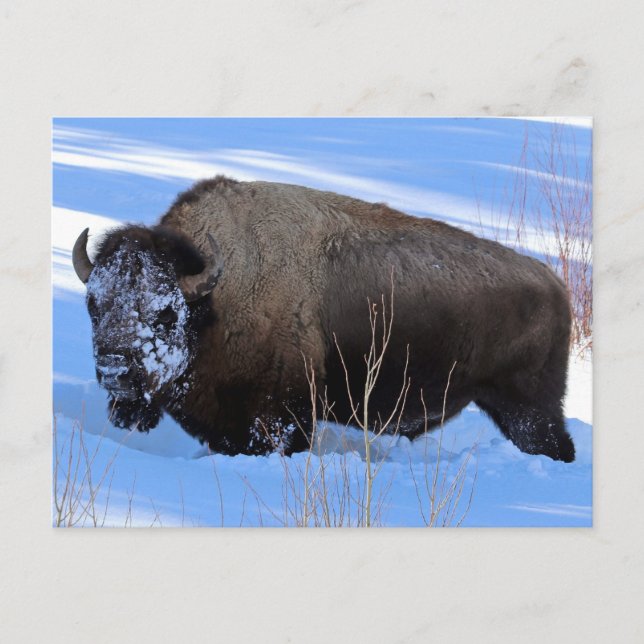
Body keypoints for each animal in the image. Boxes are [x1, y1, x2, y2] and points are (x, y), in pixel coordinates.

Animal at [72, 176, 575, 461]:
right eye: (94, 305)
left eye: (164, 313)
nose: (115, 370)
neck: (216, 298)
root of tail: (555, 284)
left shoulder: (281, 417)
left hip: (530, 411)